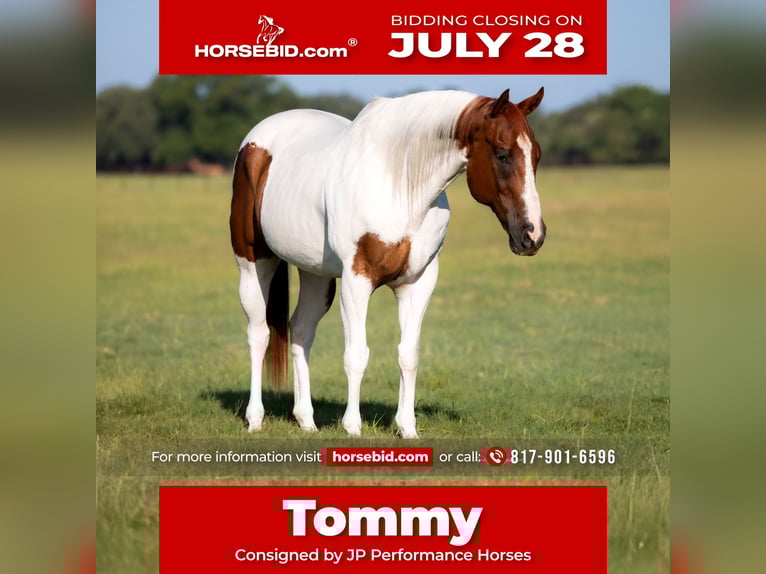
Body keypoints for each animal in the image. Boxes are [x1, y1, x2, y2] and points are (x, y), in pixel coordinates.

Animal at [230, 88, 546, 438]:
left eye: (536, 156)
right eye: (503, 155)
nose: (532, 235)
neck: (400, 186)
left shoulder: (417, 283)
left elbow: (408, 355)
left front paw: (407, 428)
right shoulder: (357, 280)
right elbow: (356, 355)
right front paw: (353, 427)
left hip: (315, 273)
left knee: (300, 331)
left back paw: (306, 420)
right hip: (253, 262)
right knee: (259, 334)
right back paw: (255, 418)